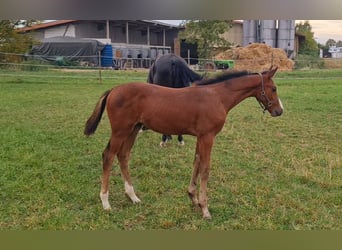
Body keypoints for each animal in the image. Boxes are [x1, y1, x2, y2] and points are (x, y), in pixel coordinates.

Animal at [83, 66, 284, 219]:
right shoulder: (208, 136)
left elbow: (196, 163)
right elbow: (205, 168)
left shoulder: (200, 137)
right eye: (274, 89)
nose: (279, 111)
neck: (217, 96)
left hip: (133, 129)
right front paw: (205, 209)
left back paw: (133, 197)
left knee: (123, 155)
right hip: (120, 130)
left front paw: (193, 199)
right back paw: (105, 202)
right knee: (108, 156)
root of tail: (113, 90)